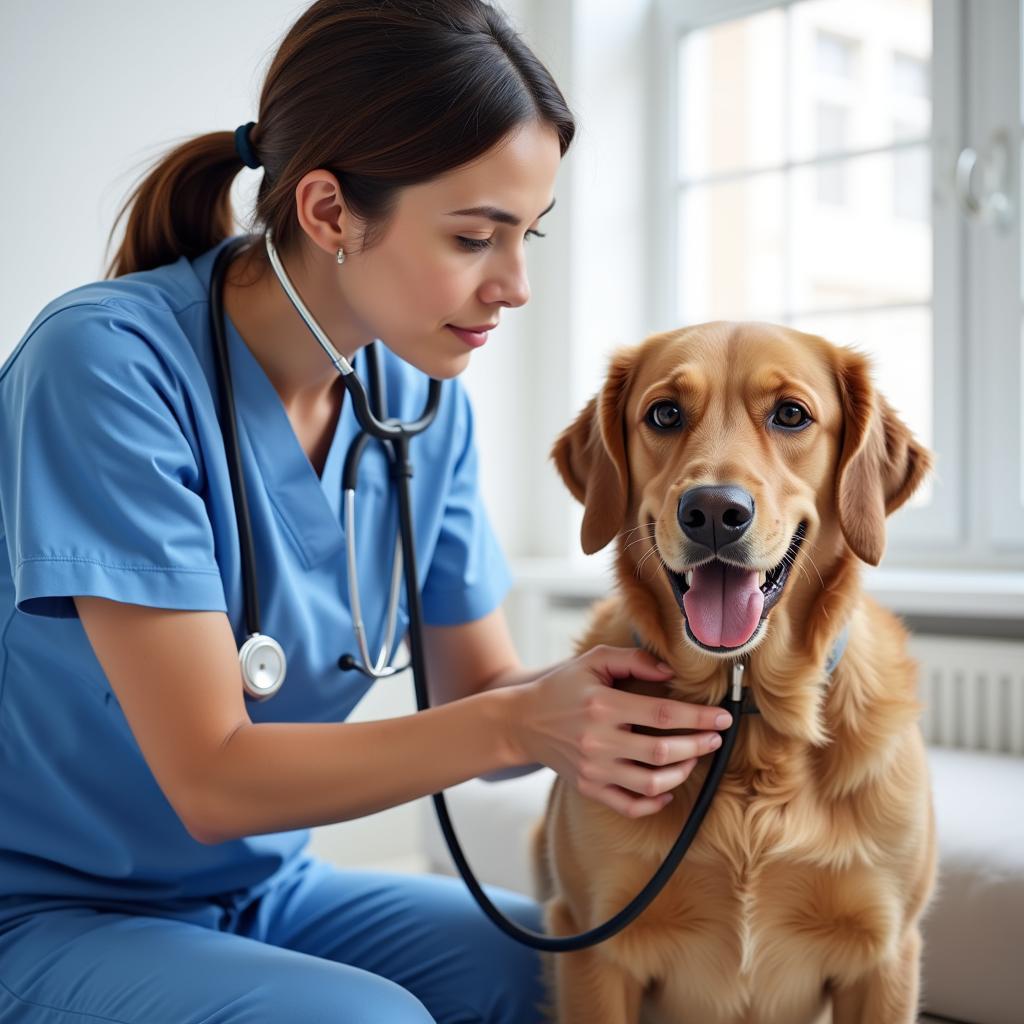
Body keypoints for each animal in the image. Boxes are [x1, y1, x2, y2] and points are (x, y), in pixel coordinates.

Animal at [532, 321, 937, 1024]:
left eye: (791, 415)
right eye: (665, 414)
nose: (715, 511)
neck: (744, 706)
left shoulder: (886, 956)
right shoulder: (591, 945)